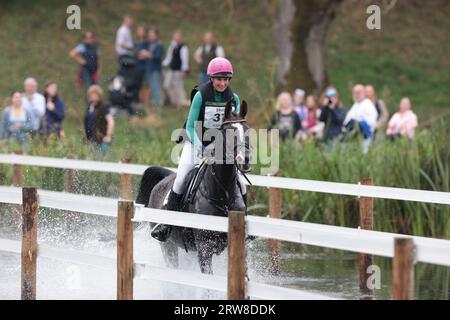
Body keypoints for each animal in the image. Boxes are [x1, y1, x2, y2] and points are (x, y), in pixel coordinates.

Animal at [135, 100, 251, 276]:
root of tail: (161, 183)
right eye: (228, 132)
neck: (222, 193)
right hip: (168, 246)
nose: (245, 160)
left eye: (247, 130)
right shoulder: (204, 248)